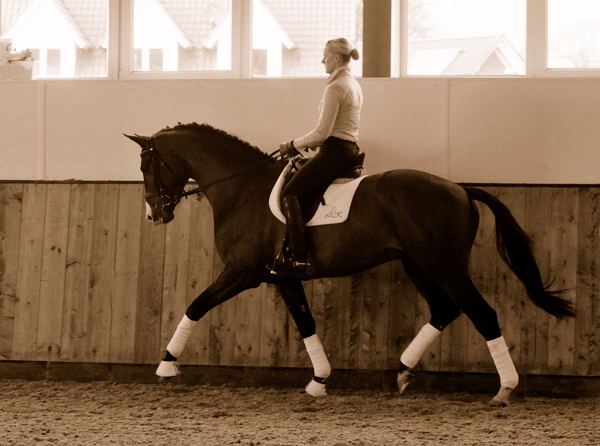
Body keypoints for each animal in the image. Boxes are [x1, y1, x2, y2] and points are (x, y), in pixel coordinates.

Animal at [124, 123, 576, 408]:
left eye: (147, 165)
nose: (153, 214)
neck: (241, 188)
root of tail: (460, 189)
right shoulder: (282, 277)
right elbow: (306, 323)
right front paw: (319, 381)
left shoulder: (242, 273)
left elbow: (195, 305)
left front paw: (166, 365)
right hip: (418, 265)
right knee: (444, 310)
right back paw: (402, 371)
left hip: (445, 267)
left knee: (482, 313)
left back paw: (504, 390)